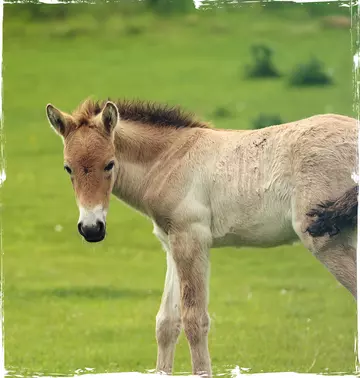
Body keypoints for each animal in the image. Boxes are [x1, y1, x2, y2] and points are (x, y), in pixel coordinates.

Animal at [45, 100, 358, 378]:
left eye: (109, 164)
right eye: (68, 168)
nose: (91, 229)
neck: (170, 159)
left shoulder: (191, 240)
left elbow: (194, 320)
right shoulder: (172, 244)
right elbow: (166, 323)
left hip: (326, 242)